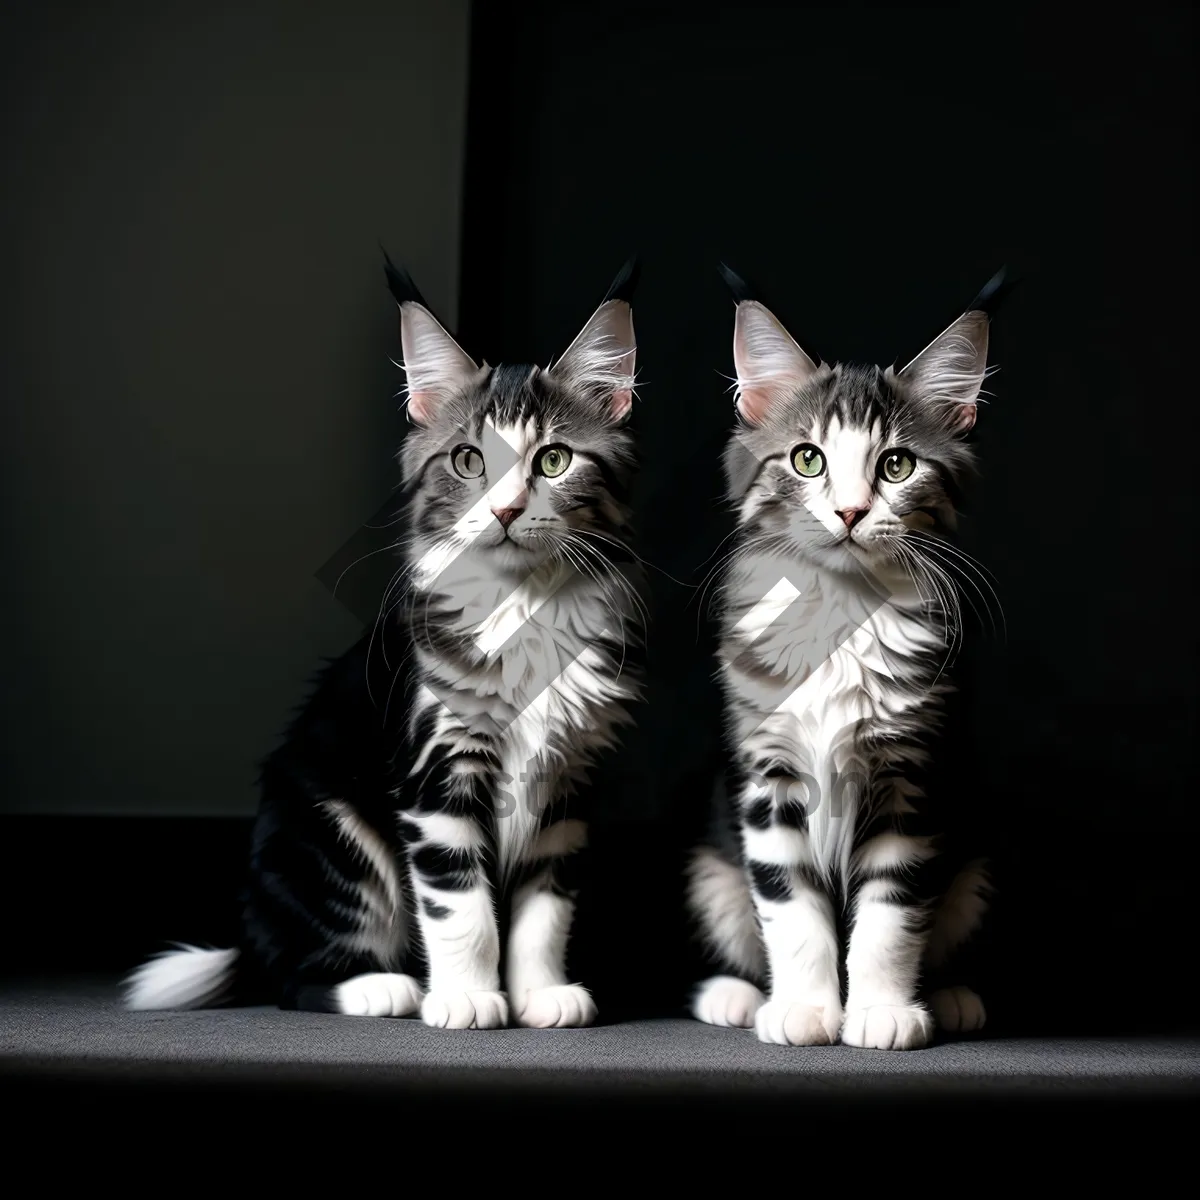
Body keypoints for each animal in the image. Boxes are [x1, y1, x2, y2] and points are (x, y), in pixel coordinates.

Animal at [124, 258, 648, 1027]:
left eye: (553, 461)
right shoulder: (436, 774)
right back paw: (381, 986)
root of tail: (257, 924)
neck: (522, 606)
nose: (506, 511)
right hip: (327, 830)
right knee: (292, 978)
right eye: (469, 461)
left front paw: (539, 993)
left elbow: (544, 910)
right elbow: (463, 907)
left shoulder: (567, 782)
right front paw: (467, 998)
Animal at [686, 267, 1003, 1046]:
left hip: (975, 864)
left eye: (897, 465)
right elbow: (791, 908)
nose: (853, 512)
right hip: (712, 868)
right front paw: (804, 1008)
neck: (843, 609)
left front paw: (882, 1011)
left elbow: (890, 916)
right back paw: (738, 996)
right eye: (808, 459)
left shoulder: (911, 780)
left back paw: (950, 996)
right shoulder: (767, 777)